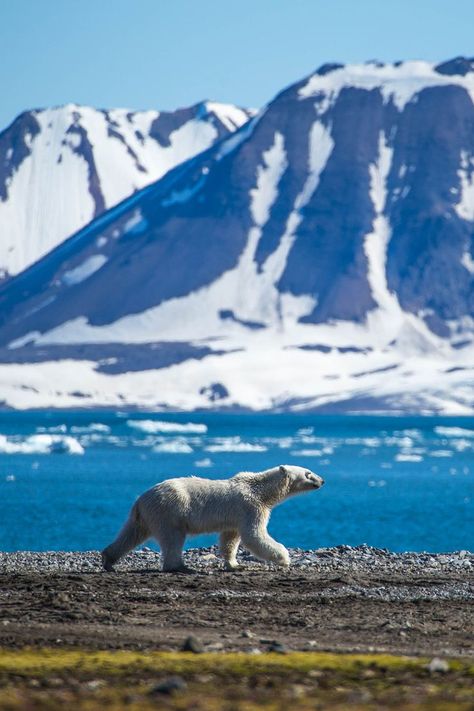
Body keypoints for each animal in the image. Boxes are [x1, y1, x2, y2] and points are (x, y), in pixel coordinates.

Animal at [99, 464, 322, 576]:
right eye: (308, 473)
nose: (322, 480)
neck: (260, 490)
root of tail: (141, 499)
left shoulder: (235, 517)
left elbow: (230, 539)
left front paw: (234, 564)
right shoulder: (250, 507)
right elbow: (254, 535)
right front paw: (284, 558)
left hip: (146, 515)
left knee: (131, 534)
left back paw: (108, 560)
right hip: (170, 511)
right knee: (172, 538)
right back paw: (180, 566)